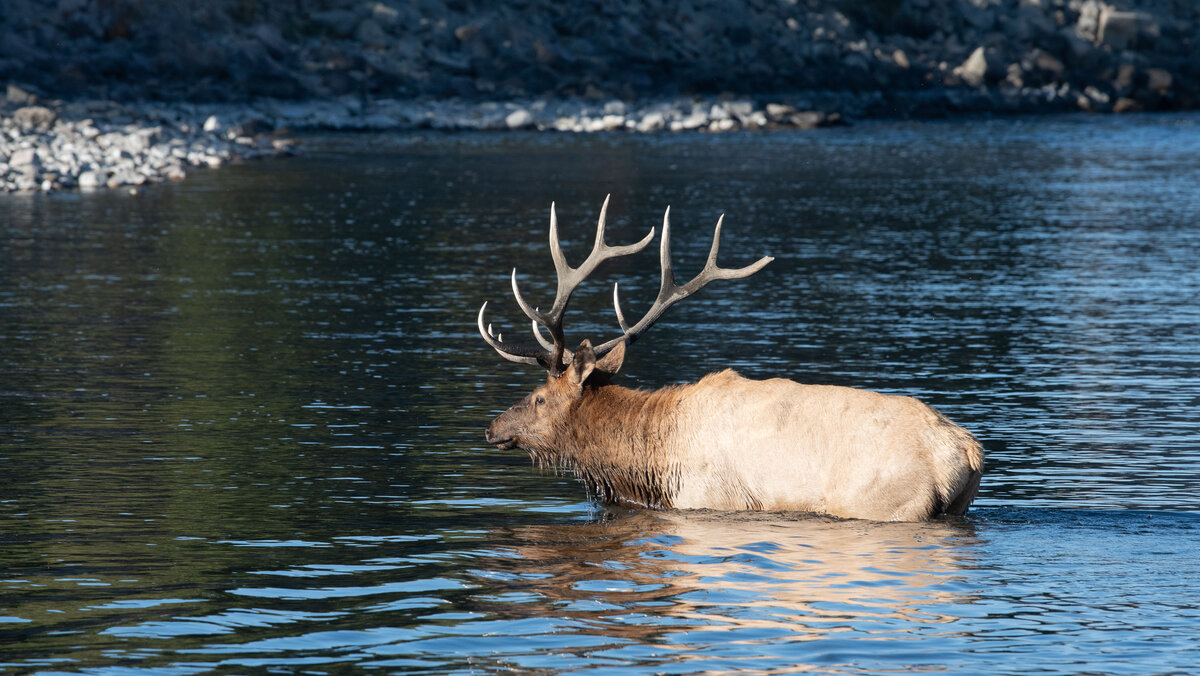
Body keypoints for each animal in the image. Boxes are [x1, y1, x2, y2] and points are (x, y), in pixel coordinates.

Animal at [478, 197, 983, 521]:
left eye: (540, 398)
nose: (492, 427)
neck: (648, 460)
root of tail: (967, 453)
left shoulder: (709, 497)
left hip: (883, 501)